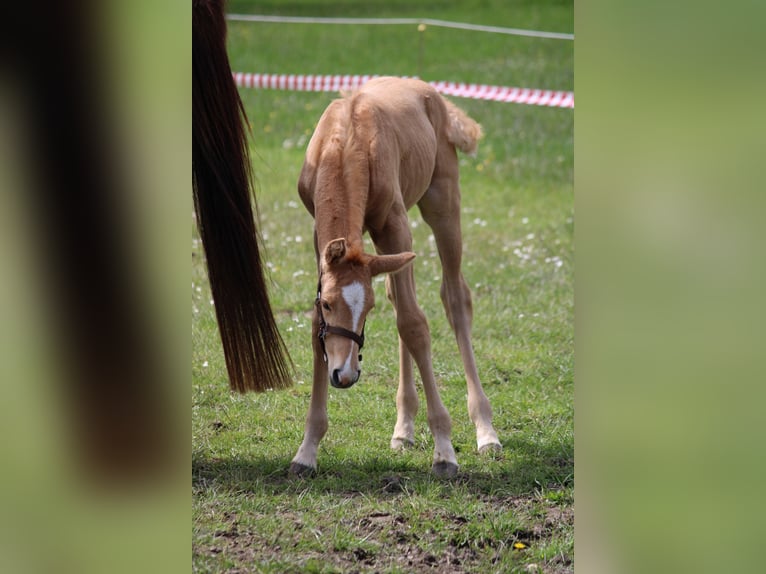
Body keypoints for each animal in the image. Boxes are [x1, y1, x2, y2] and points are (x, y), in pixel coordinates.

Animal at [291, 77, 502, 478]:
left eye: (366, 309)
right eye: (329, 304)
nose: (345, 374)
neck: (344, 142)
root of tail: (427, 90)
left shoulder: (394, 223)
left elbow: (414, 324)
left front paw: (444, 451)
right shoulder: (321, 237)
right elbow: (316, 329)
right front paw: (306, 451)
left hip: (441, 205)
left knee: (454, 298)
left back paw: (485, 430)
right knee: (399, 292)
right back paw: (403, 428)